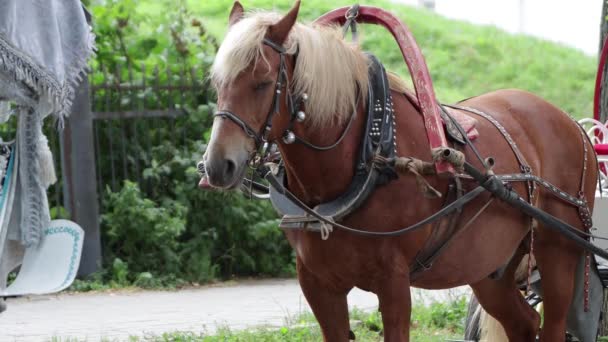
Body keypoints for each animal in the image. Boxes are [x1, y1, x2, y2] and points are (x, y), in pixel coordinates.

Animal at [201, 1, 600, 340]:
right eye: (217, 82)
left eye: (263, 82)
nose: (218, 165)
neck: (369, 156)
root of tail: (574, 125)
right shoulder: (317, 284)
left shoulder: (393, 282)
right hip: (489, 266)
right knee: (524, 322)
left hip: (558, 249)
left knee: (553, 324)